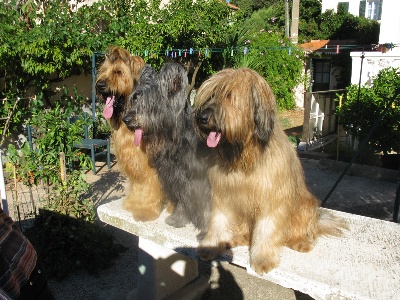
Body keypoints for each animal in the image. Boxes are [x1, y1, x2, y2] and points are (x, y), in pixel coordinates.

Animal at [96, 46, 166, 220]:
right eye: (103, 70)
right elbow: (137, 184)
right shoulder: (133, 159)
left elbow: (150, 185)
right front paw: (133, 203)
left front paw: (146, 210)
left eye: (118, 72)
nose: (99, 84)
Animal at [194, 68, 346, 274]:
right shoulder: (224, 194)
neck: (246, 157)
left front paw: (263, 259)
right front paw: (211, 246)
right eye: (210, 95)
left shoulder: (272, 198)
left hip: (304, 205)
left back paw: (300, 241)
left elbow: (267, 229)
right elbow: (219, 221)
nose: (201, 118)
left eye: (229, 95)